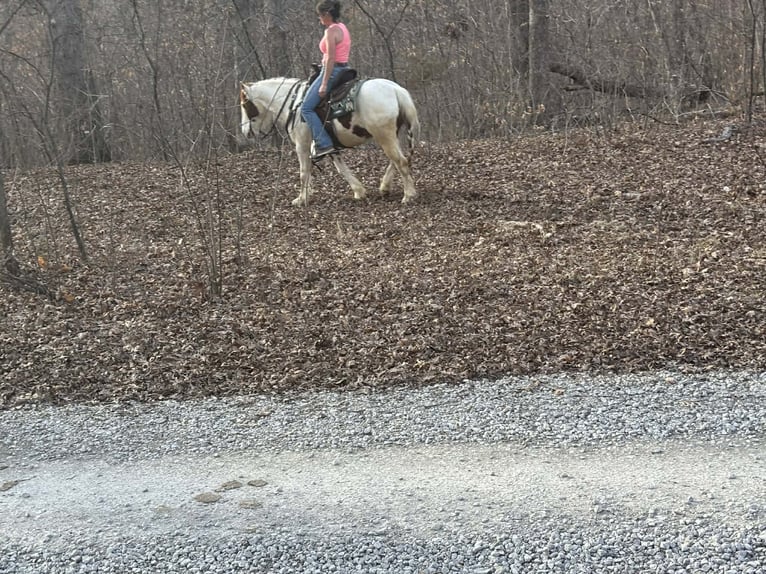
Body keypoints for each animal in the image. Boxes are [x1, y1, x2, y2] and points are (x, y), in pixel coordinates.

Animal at [240, 75, 420, 206]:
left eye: (245, 106)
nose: (245, 132)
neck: (294, 104)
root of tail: (396, 90)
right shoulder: (329, 146)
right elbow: (341, 169)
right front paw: (359, 191)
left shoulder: (302, 144)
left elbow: (304, 171)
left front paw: (301, 199)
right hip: (391, 135)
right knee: (397, 160)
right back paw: (385, 187)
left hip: (384, 136)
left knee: (401, 161)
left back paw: (408, 195)